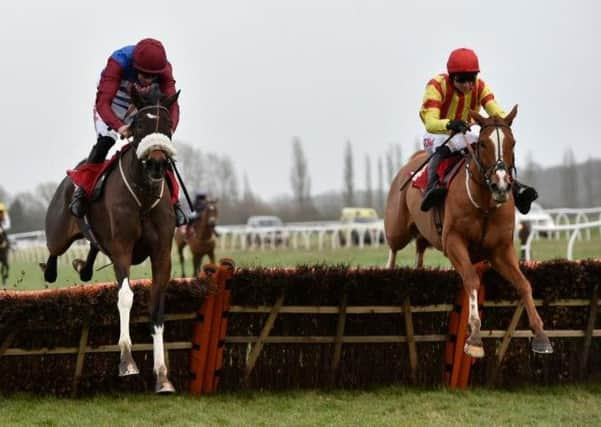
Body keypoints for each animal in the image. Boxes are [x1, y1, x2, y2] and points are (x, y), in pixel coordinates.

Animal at [42, 87, 180, 394]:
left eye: (167, 126)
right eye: (139, 126)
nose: (157, 163)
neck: (143, 196)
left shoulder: (162, 253)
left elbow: (157, 307)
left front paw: (163, 376)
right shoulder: (122, 250)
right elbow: (126, 295)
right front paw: (127, 362)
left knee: (93, 247)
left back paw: (83, 267)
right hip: (58, 232)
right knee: (53, 251)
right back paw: (50, 270)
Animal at [384, 107, 552, 358]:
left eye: (513, 143)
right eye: (482, 144)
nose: (501, 185)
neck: (484, 204)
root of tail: (412, 161)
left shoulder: (500, 250)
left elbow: (524, 284)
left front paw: (541, 336)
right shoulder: (454, 242)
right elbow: (472, 280)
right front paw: (474, 339)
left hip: (422, 236)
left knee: (420, 251)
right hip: (397, 228)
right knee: (393, 251)